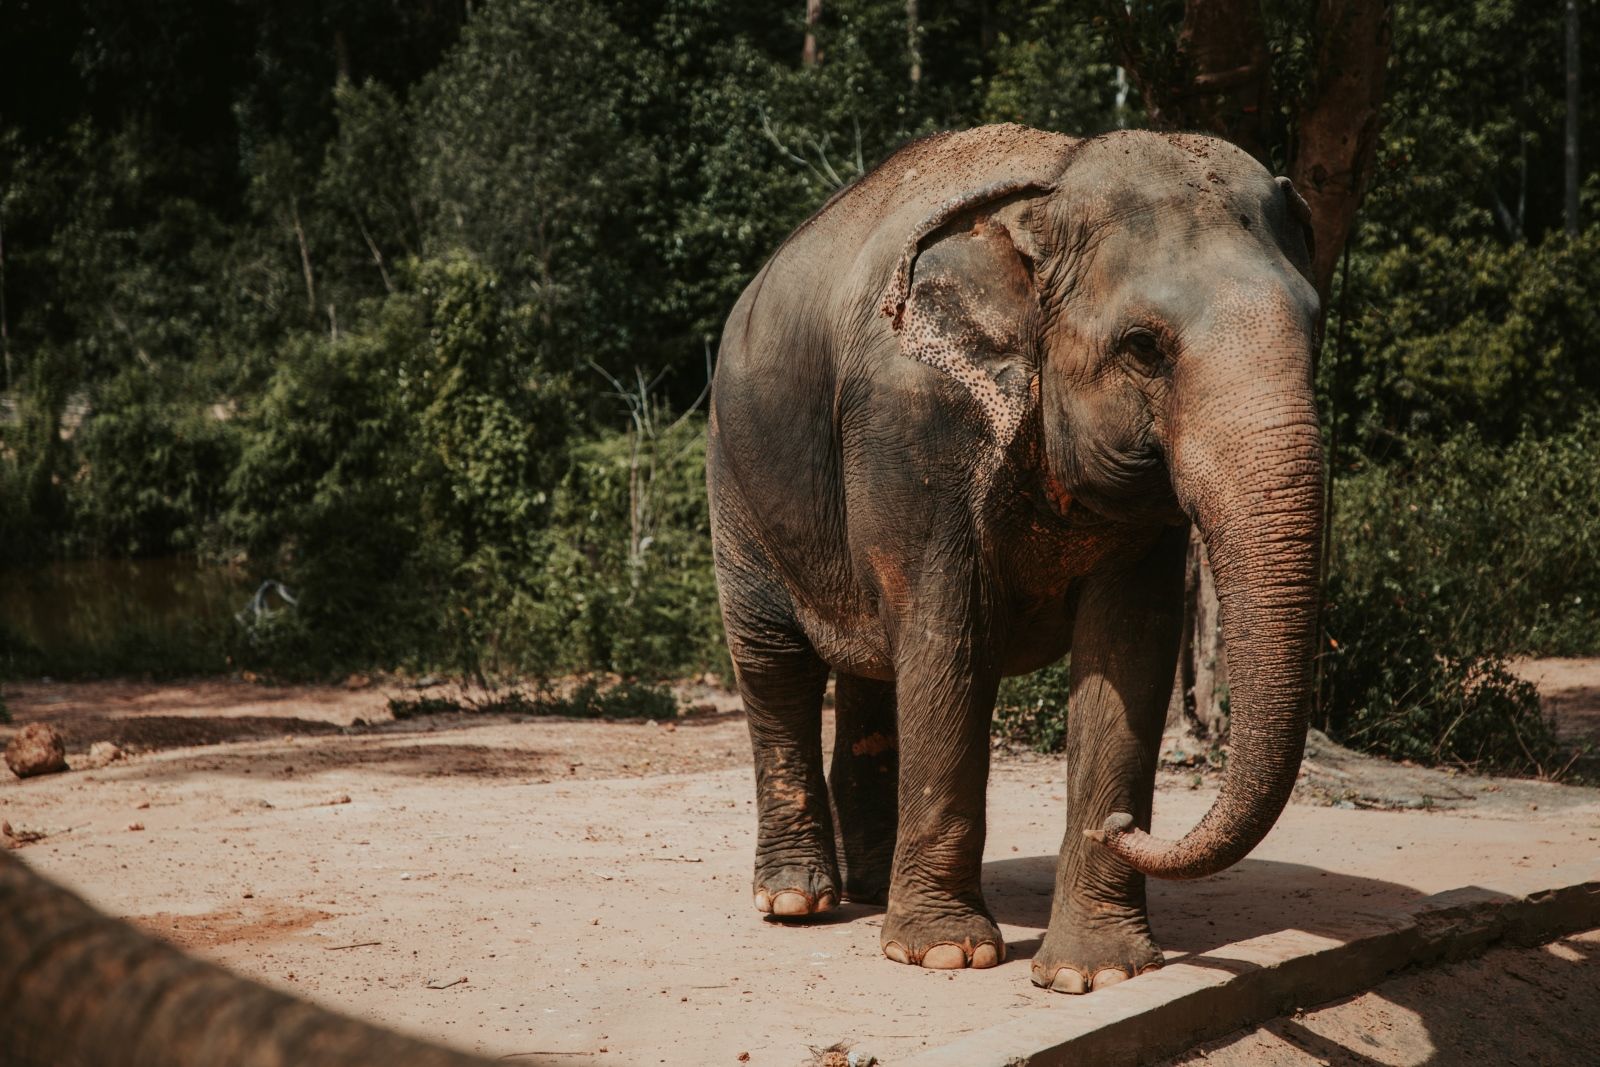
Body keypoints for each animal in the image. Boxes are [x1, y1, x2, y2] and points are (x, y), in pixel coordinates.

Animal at [706, 124, 1323, 993]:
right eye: (1143, 347)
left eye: (1318, 332)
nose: (1125, 823)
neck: (1049, 197)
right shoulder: (914, 421)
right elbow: (949, 633)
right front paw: (945, 953)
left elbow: (1128, 647)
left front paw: (1095, 972)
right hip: (737, 478)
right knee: (776, 665)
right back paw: (799, 900)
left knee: (872, 674)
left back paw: (872, 887)